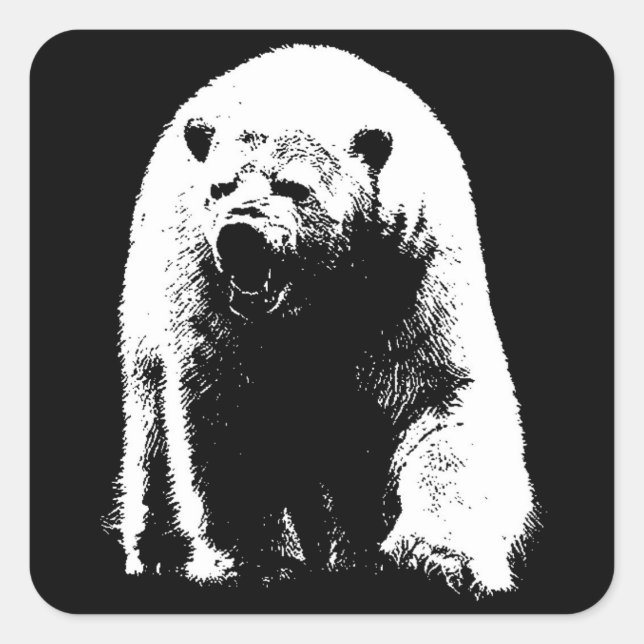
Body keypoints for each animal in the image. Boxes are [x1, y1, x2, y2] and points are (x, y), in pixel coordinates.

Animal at [115, 44, 537, 595]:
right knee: (151, 431)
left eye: (294, 187)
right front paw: (259, 565)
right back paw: (158, 554)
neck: (316, 301)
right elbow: (226, 416)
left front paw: (436, 560)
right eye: (221, 188)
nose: (240, 233)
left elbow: (442, 402)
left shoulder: (409, 275)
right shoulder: (210, 296)